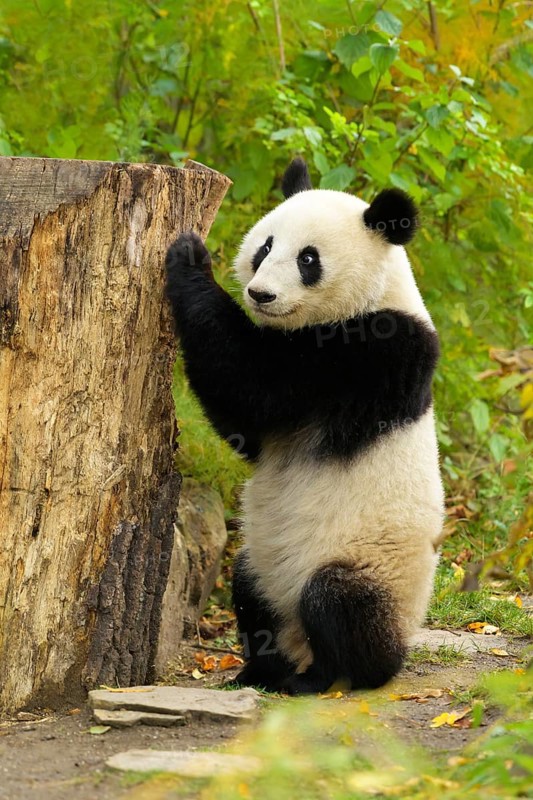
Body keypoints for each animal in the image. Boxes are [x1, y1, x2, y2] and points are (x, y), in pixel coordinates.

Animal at [165, 157, 444, 694]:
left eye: (308, 259)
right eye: (265, 247)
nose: (260, 294)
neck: (375, 296)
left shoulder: (376, 352)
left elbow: (253, 386)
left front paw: (190, 257)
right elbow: (247, 429)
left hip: (372, 564)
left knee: (337, 602)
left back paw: (323, 677)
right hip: (265, 561)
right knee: (249, 588)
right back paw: (260, 670)